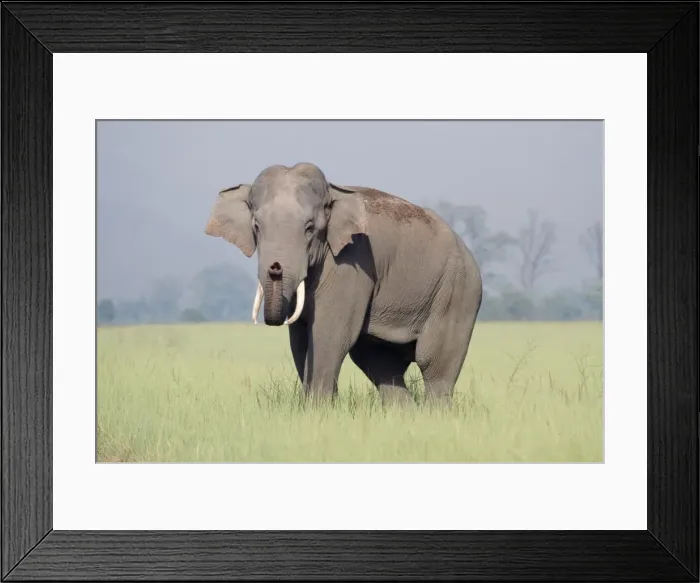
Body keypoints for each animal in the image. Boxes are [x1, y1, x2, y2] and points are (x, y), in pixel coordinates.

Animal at [204, 162, 482, 407]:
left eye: (309, 228)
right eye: (256, 227)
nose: (275, 267)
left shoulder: (351, 262)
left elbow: (329, 332)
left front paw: (318, 410)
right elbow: (300, 338)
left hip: (457, 290)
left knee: (433, 363)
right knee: (381, 363)